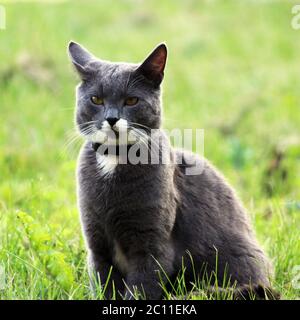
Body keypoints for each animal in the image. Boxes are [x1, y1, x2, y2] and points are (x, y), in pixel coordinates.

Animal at [67, 41, 278, 298]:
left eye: (131, 101)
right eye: (96, 100)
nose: (112, 118)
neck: (114, 159)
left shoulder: (153, 247)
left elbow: (142, 285)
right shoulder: (97, 246)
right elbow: (105, 283)